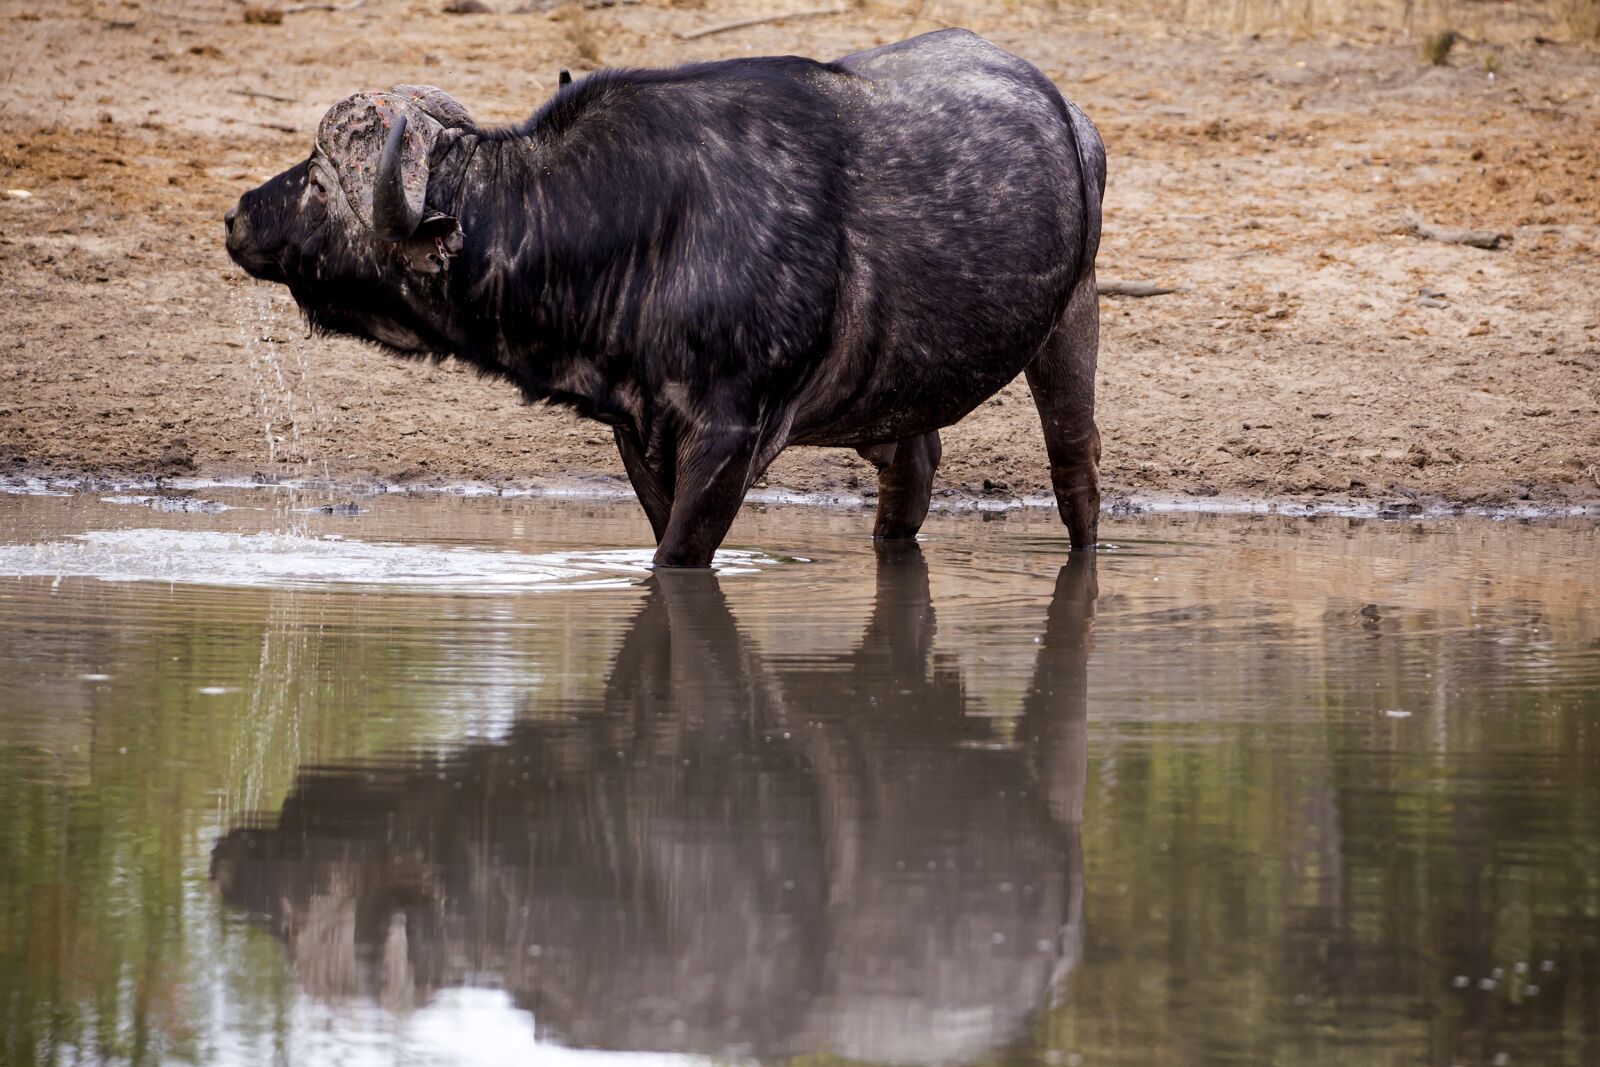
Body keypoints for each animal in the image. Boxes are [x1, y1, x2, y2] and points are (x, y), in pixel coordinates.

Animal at [222, 27, 1100, 566]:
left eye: (318, 179)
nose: (236, 215)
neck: (648, 225)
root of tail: (1071, 115)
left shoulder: (729, 438)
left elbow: (677, 555)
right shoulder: (637, 430)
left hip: (1072, 321)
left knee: (1074, 467)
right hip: (886, 394)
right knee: (913, 466)